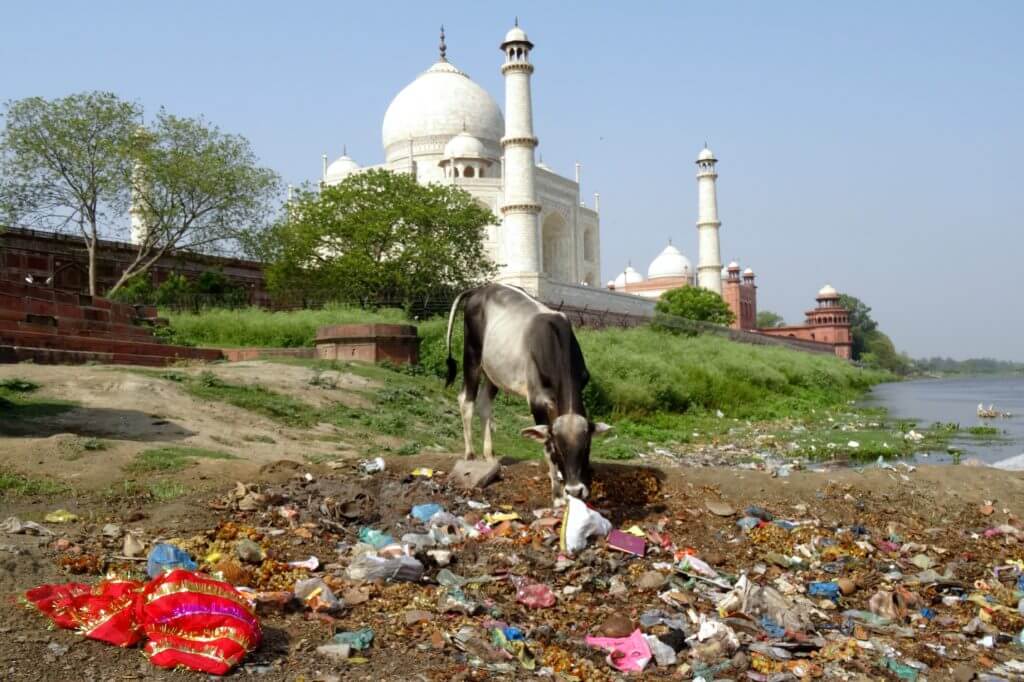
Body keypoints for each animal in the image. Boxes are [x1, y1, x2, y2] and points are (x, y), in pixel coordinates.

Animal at [442, 280, 606, 499]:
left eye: (586, 447)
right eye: (558, 448)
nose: (575, 490)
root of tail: (480, 289)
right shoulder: (537, 400)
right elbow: (545, 444)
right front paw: (558, 493)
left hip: (494, 371)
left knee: (484, 404)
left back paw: (490, 456)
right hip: (472, 356)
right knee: (466, 401)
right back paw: (470, 454)